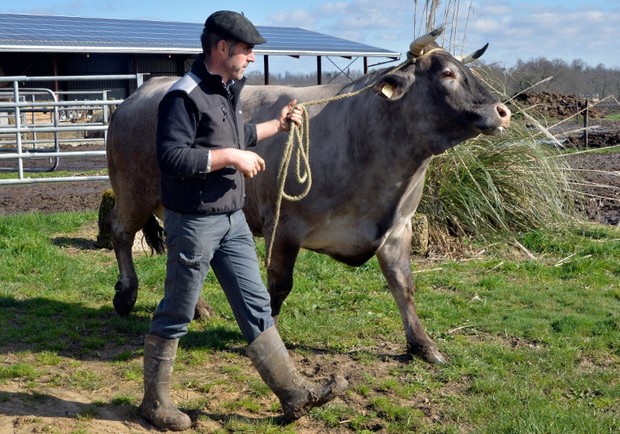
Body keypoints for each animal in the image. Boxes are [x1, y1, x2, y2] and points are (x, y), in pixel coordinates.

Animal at [106, 28, 512, 364]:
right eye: (446, 74)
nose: (503, 111)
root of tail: (145, 89)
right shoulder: (285, 224)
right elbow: (279, 284)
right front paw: (268, 332)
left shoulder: (399, 228)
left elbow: (404, 286)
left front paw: (423, 345)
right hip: (133, 190)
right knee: (121, 234)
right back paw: (126, 294)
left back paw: (199, 308)